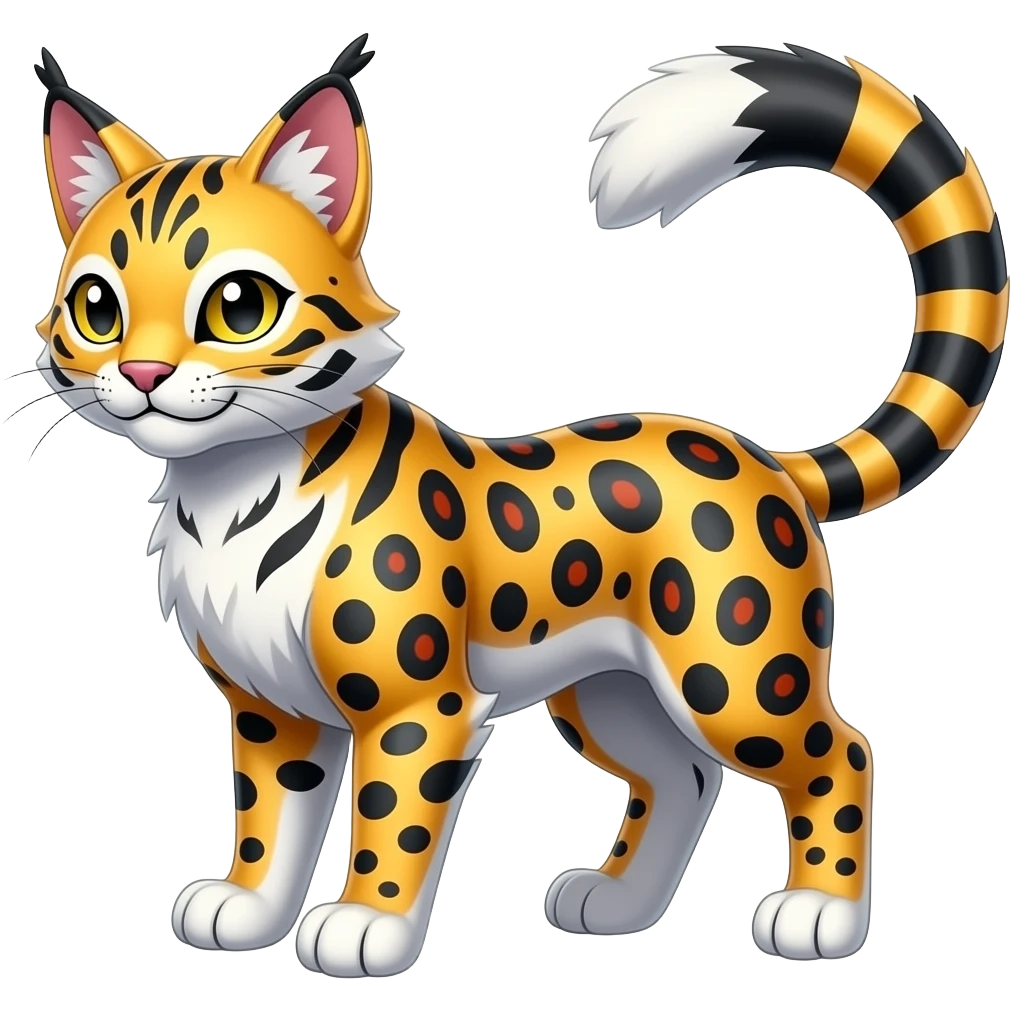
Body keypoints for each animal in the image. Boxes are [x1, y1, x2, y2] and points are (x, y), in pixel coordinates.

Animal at [26, 38, 1007, 976]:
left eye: (238, 305)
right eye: (96, 307)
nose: (140, 373)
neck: (235, 494)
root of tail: (763, 455)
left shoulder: (418, 708)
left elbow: (392, 819)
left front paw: (366, 925)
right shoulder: (274, 709)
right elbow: (270, 818)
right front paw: (248, 908)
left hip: (731, 676)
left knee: (841, 754)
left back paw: (819, 916)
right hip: (610, 692)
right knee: (684, 778)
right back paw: (617, 904)